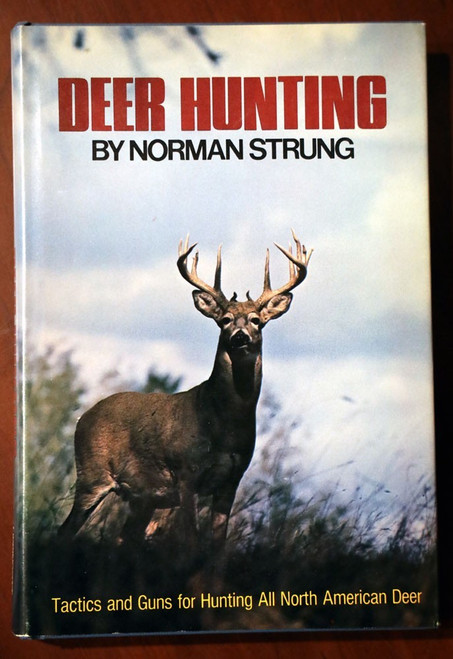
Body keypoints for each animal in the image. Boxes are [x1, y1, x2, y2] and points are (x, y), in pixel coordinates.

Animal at [59, 231, 312, 553]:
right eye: (225, 320)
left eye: (256, 320)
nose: (239, 337)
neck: (222, 423)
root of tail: (83, 417)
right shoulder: (186, 473)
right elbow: (190, 541)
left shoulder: (231, 479)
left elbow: (217, 545)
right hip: (92, 475)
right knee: (65, 530)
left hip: (143, 497)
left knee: (123, 536)